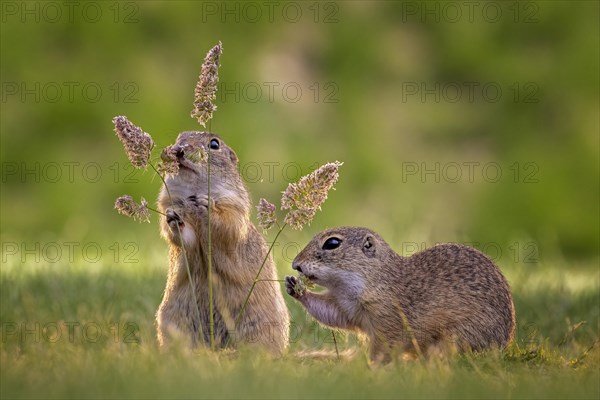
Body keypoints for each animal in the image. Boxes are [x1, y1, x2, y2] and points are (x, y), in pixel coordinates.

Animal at [156, 131, 290, 354]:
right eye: (178, 137)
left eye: (214, 144)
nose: (178, 150)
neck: (192, 191)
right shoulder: (169, 202)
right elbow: (182, 236)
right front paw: (173, 217)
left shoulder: (233, 205)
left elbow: (227, 224)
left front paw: (206, 203)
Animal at [286, 227, 516, 360]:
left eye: (332, 243)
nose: (295, 264)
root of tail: (506, 344)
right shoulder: (347, 308)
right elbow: (330, 313)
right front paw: (294, 287)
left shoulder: (387, 318)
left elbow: (384, 348)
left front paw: (369, 369)